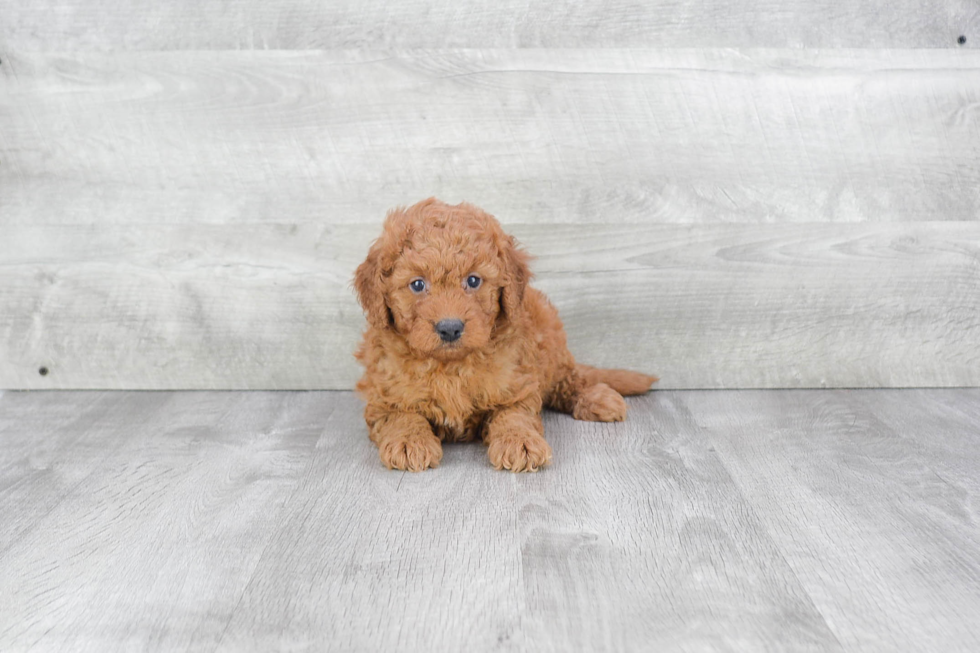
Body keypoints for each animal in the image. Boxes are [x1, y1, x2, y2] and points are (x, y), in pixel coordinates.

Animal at [352, 196, 660, 472]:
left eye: (473, 280)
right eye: (417, 284)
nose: (450, 327)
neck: (450, 366)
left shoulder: (516, 386)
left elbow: (513, 416)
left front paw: (520, 442)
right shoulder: (383, 398)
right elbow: (401, 416)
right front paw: (408, 442)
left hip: (552, 345)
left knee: (569, 379)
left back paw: (597, 398)